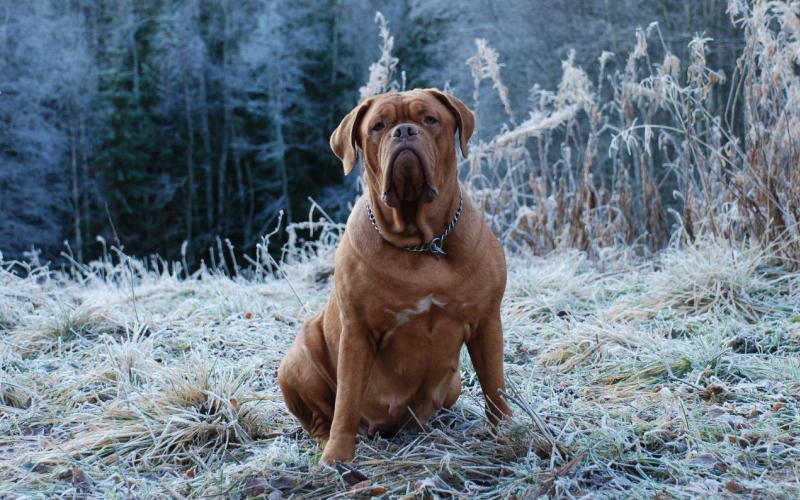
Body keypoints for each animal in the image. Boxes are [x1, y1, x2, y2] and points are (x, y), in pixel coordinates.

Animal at [278, 87, 510, 464]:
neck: (422, 244)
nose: (403, 131)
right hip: (297, 362)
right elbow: (346, 402)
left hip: (454, 383)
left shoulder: (486, 322)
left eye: (430, 119)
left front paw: (508, 431)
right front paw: (337, 457)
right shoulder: (356, 333)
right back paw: (326, 443)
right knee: (320, 417)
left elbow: (495, 385)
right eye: (378, 126)